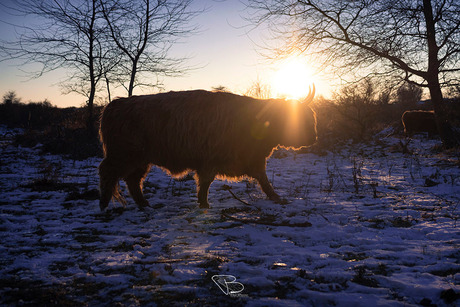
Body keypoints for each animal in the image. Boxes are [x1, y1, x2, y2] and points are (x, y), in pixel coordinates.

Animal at [99, 88, 316, 211]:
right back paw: (103, 204)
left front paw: (276, 197)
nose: (314, 138)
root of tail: (114, 105)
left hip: (141, 160)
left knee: (133, 180)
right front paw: (204, 204)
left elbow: (263, 179)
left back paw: (144, 204)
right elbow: (205, 183)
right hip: (124, 155)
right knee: (108, 172)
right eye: (301, 119)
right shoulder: (210, 161)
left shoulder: (252, 159)